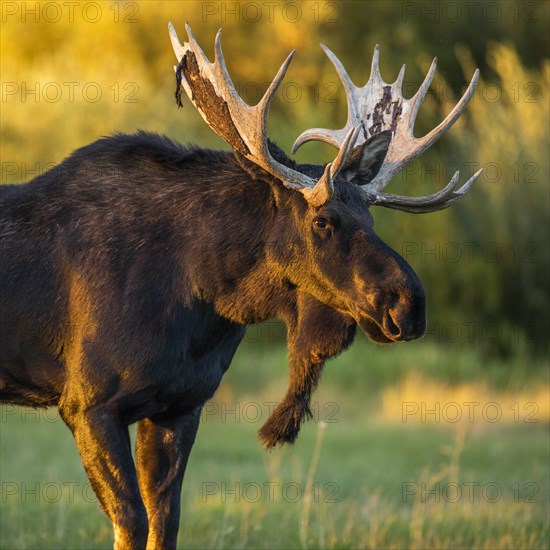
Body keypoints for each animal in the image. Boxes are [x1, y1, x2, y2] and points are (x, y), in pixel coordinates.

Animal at [0, 22, 484, 550]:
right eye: (322, 221)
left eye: (371, 218)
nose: (408, 304)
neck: (204, 292)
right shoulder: (87, 405)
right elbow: (131, 522)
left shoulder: (179, 406)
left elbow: (164, 521)